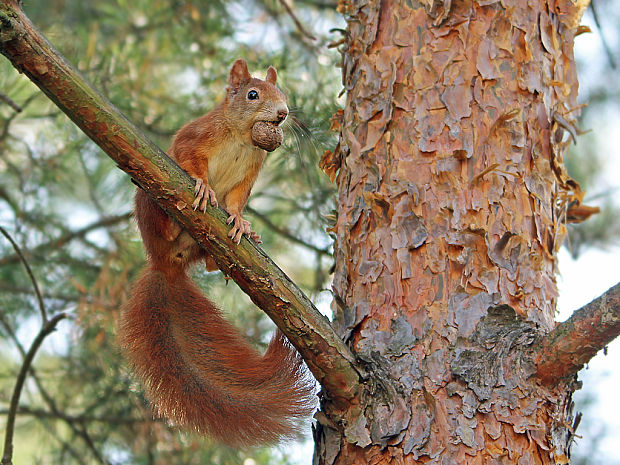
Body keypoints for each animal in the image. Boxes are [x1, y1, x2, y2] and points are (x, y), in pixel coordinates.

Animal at [119, 59, 318, 446]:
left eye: (283, 93)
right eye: (253, 94)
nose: (283, 113)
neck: (241, 136)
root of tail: (164, 264)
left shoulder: (250, 173)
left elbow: (237, 200)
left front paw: (240, 220)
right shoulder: (196, 138)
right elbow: (191, 160)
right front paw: (202, 186)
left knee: (211, 263)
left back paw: (230, 248)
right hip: (149, 204)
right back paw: (171, 222)